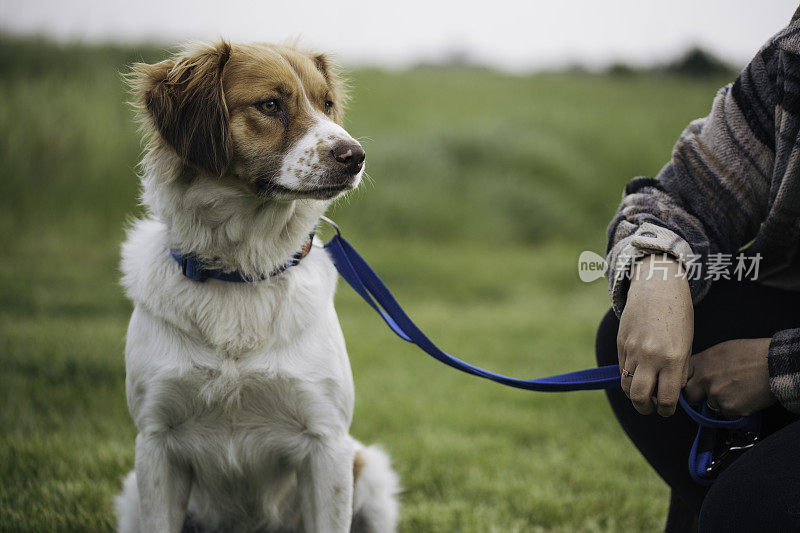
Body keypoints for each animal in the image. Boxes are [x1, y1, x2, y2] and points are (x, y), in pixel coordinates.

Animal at [114, 40, 400, 532]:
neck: (241, 271)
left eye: (327, 104)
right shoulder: (155, 443)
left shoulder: (327, 442)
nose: (355, 156)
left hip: (371, 473)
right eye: (270, 105)